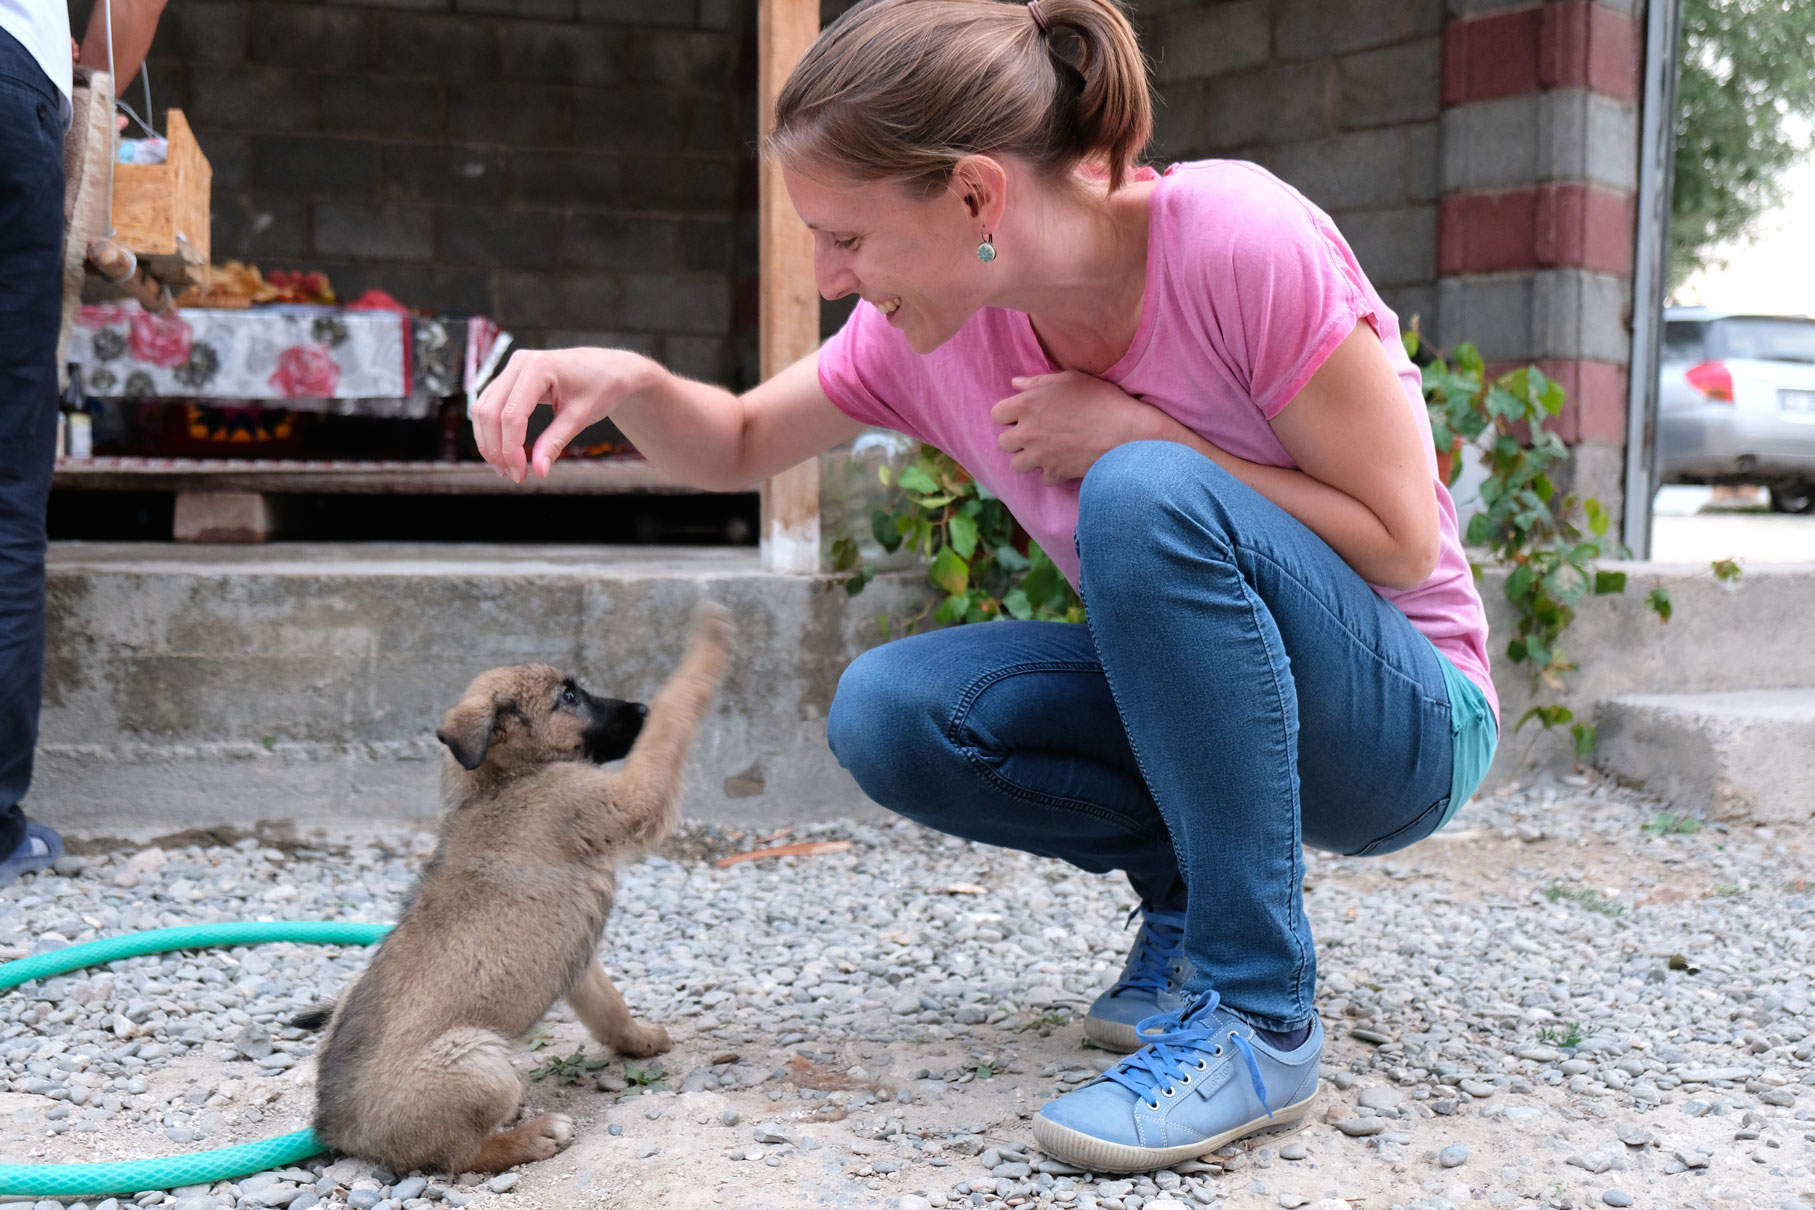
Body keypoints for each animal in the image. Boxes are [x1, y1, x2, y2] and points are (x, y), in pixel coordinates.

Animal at [308, 602, 733, 1175]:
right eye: (569, 697)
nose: (639, 706)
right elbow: (676, 710)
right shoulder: (623, 796)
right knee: (462, 1155)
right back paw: (535, 1135)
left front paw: (640, 1040)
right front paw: (710, 639)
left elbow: (610, 1008)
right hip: (477, 1058)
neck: (503, 780)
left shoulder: (577, 960)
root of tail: (339, 1128)